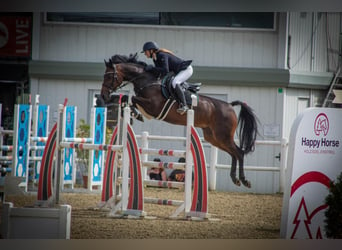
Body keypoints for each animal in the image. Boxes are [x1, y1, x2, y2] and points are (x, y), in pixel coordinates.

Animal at [97, 53, 258, 188]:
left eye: (109, 77)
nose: (103, 95)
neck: (147, 80)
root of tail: (229, 106)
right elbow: (127, 99)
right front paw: (134, 113)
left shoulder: (153, 107)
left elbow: (131, 98)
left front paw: (136, 114)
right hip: (213, 138)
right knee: (233, 153)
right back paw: (235, 179)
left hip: (222, 136)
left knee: (239, 153)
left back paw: (243, 180)